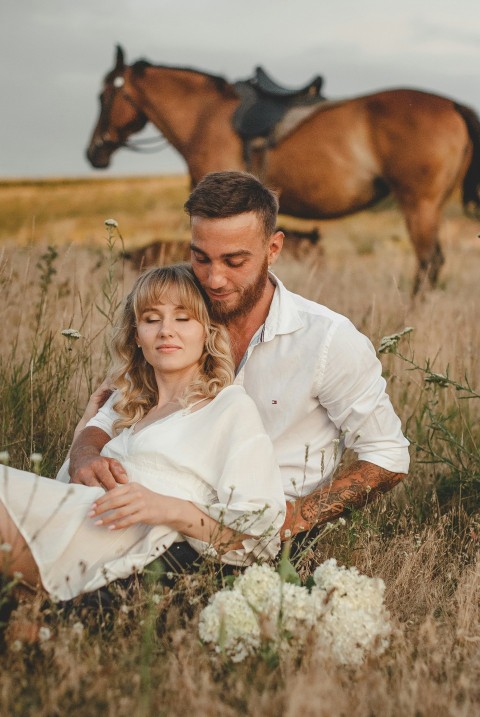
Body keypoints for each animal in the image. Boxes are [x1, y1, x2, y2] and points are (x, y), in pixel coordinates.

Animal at [86, 45, 480, 290]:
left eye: (104, 95)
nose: (94, 153)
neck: (205, 116)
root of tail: (451, 104)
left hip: (419, 204)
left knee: (428, 264)